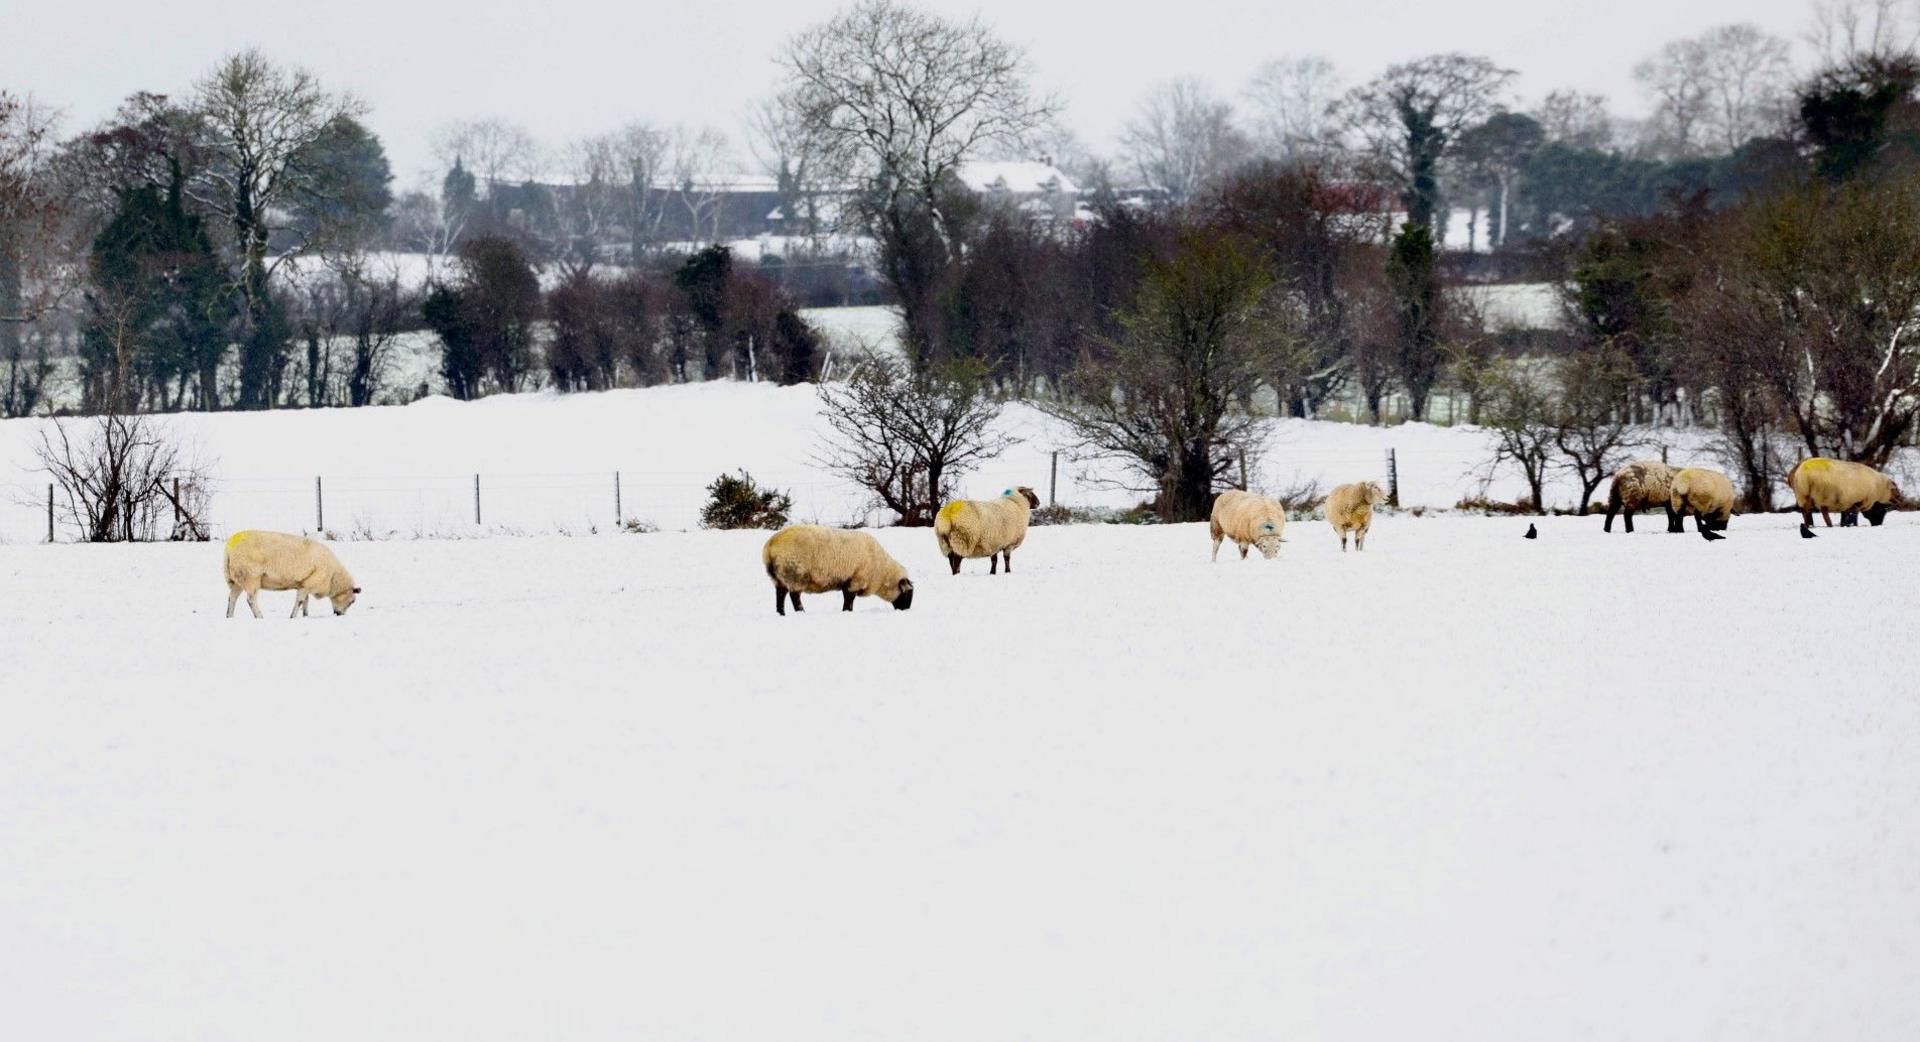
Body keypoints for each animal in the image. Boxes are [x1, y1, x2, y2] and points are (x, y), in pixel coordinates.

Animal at [222, 529, 360, 621]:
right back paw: (259, 616)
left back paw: (229, 616)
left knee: (232, 598)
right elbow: (300, 601)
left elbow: (305, 601)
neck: (333, 578)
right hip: (250, 577)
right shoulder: (309, 583)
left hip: (236, 579)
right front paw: (293, 616)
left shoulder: (305, 583)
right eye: (352, 601)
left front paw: (305, 615)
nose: (340, 614)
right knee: (251, 600)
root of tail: (229, 548)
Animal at [756, 525, 913, 614]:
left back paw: (781, 613)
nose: (906, 611)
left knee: (780, 595)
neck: (882, 571)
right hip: (795, 574)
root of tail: (770, 546)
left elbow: (847, 599)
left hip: (778, 577)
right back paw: (801, 612)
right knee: (795, 596)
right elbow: (849, 600)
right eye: (907, 595)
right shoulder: (855, 581)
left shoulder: (847, 582)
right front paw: (847, 612)